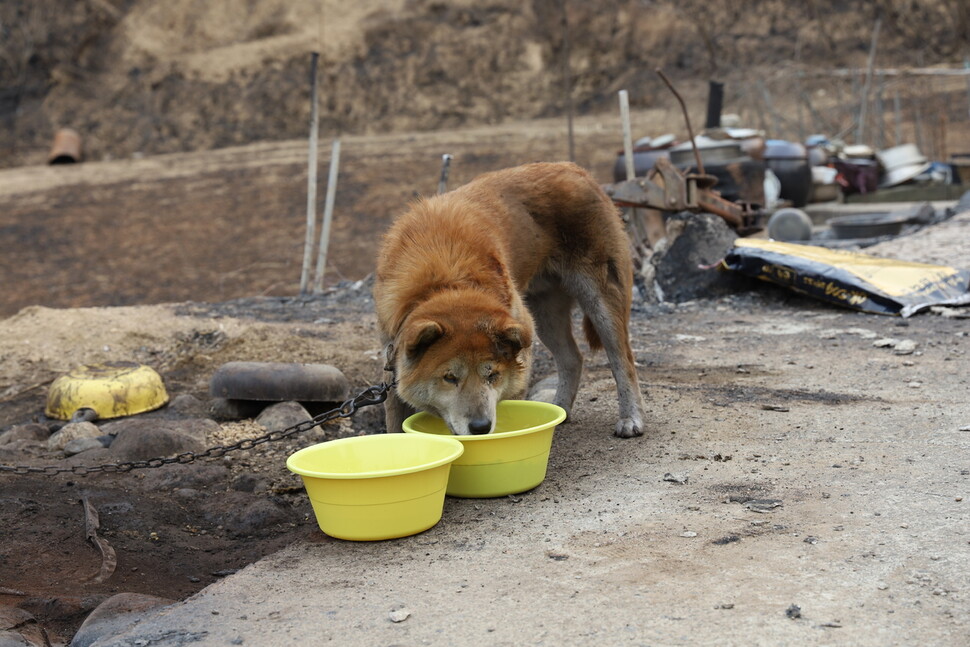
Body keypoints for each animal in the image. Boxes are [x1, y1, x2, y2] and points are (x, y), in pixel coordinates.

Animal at [374, 161, 648, 440]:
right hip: (544, 316)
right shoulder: (392, 360)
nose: (481, 428)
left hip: (599, 304)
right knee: (573, 358)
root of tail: (575, 169)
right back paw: (560, 412)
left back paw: (631, 419)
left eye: (492, 375)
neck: (446, 279)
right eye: (449, 378)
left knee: (623, 362)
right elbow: (395, 425)